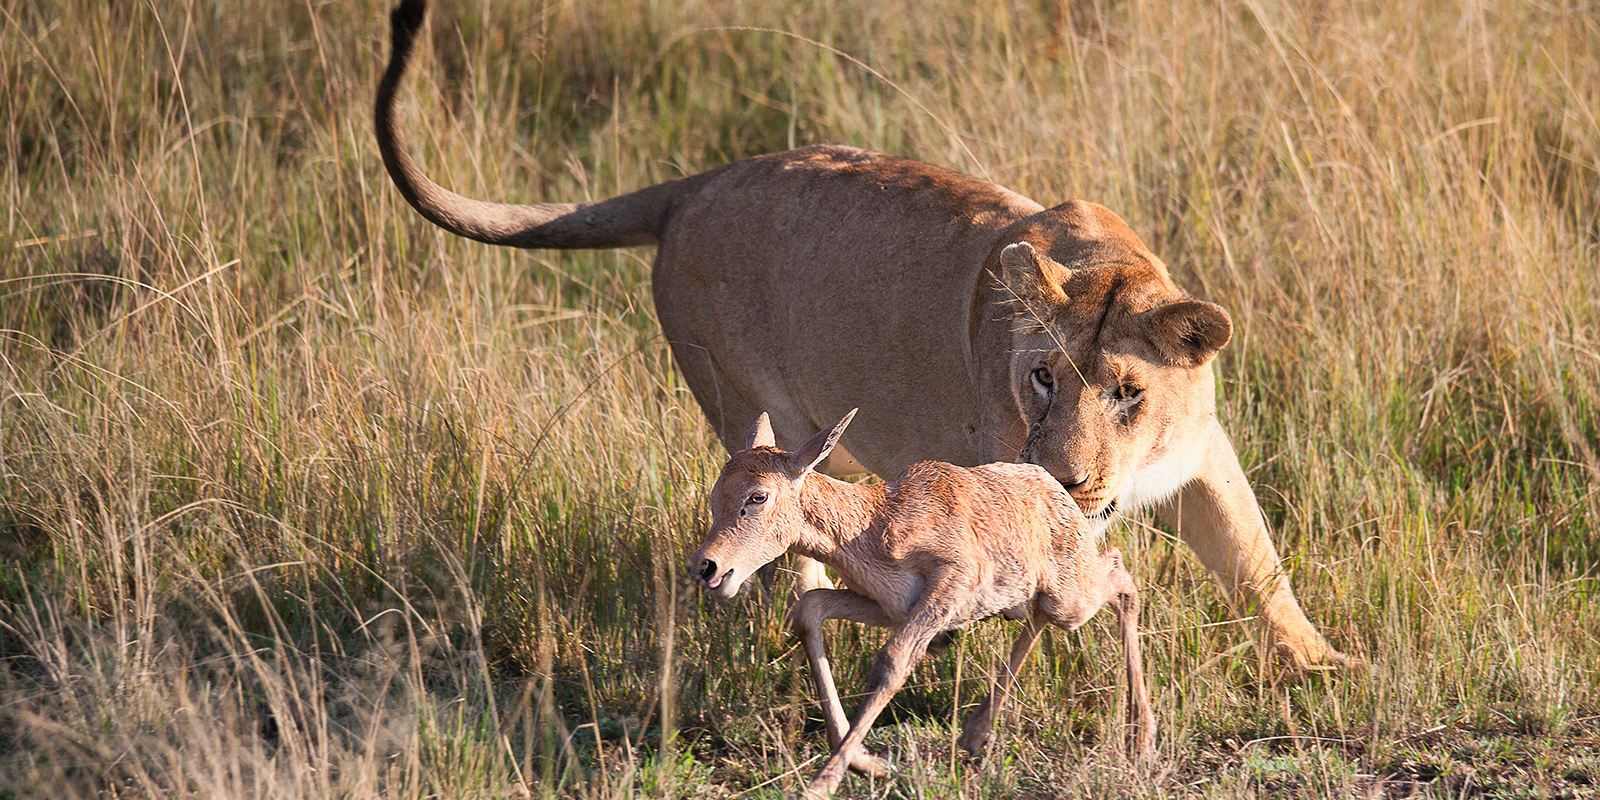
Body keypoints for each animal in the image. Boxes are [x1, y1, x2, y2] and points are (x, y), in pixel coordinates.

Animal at [688, 409, 1164, 796]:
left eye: (758, 495)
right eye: (715, 493)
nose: (707, 566)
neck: (875, 525)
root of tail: (1055, 489)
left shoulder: (953, 579)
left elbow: (892, 660)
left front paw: (823, 784)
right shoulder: (886, 605)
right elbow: (808, 609)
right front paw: (870, 765)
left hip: (1072, 598)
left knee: (1121, 578)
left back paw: (1142, 738)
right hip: (1042, 597)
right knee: (1041, 616)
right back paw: (974, 734)